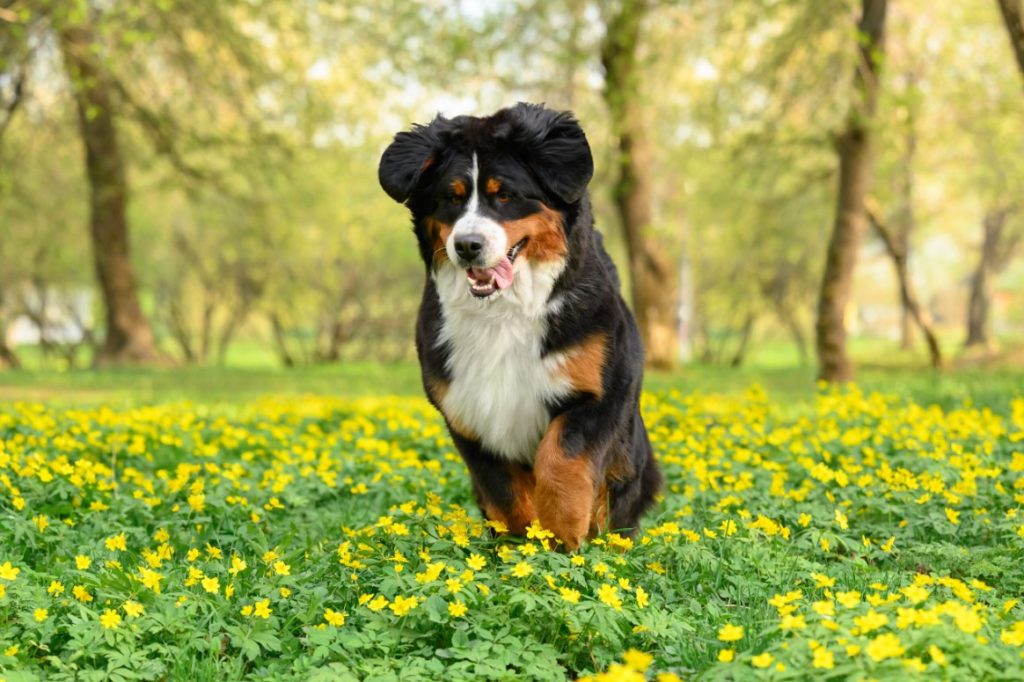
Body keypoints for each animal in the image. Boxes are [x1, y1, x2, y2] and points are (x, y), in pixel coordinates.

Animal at [380, 100, 659, 548]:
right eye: (451, 198)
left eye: (505, 195)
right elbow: (503, 490)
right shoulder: (468, 409)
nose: (467, 245)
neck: (503, 313)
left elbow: (561, 460)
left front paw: (563, 541)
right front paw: (521, 545)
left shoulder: (602, 388)